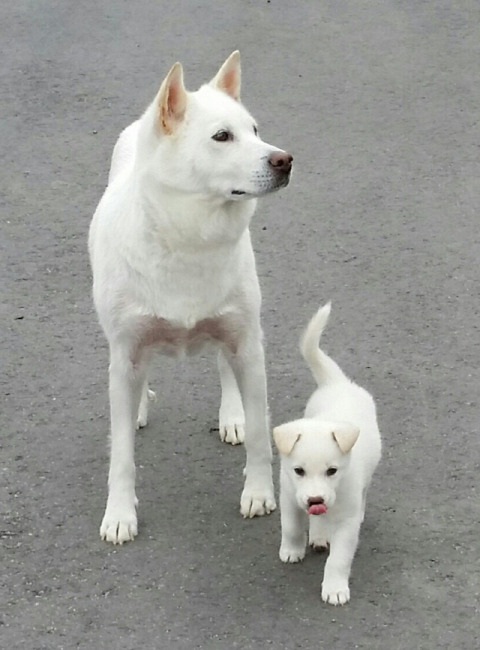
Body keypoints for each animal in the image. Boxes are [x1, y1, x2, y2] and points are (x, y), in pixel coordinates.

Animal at [89, 52, 292, 540]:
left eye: (255, 129)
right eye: (222, 136)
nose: (286, 160)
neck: (188, 238)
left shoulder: (248, 345)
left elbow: (262, 434)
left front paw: (259, 492)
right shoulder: (125, 351)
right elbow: (121, 455)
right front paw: (119, 514)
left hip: (236, 332)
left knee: (223, 364)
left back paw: (232, 415)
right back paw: (138, 407)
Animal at [274, 302, 382, 604]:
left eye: (332, 471)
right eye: (298, 470)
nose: (315, 499)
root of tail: (338, 383)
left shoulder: (346, 523)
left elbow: (339, 559)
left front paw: (334, 588)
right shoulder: (290, 495)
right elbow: (292, 526)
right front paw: (292, 549)